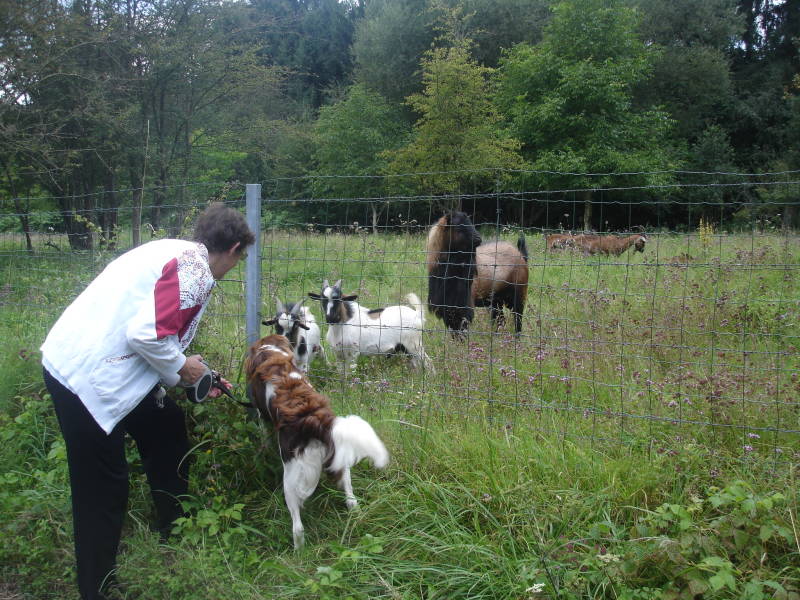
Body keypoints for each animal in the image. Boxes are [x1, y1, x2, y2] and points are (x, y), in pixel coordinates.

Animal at [245, 334, 389, 549]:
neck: (271, 351)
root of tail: (314, 420)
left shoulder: (263, 416)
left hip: (290, 479)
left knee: (297, 527)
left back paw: (298, 551)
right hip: (340, 462)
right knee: (351, 499)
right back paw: (356, 517)